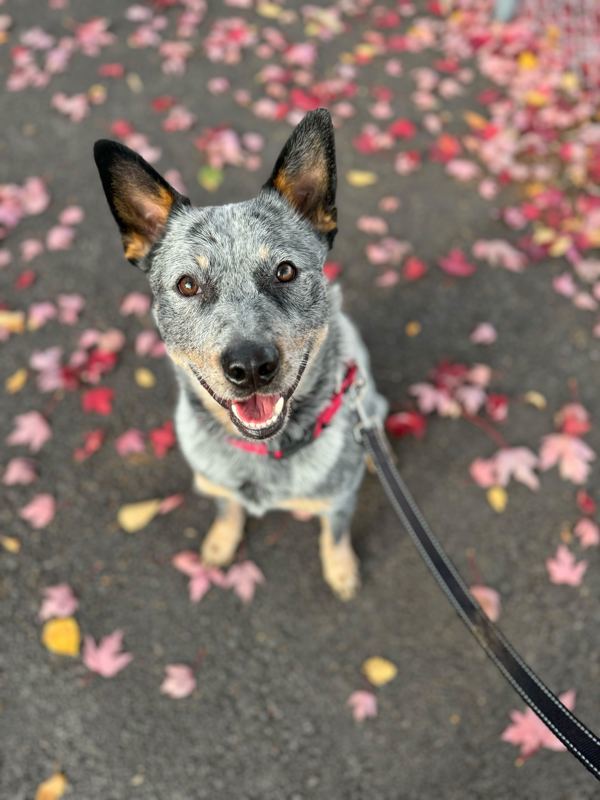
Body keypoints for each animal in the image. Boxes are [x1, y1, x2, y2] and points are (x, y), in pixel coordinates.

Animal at [92, 108, 384, 600]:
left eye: (285, 271)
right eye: (187, 284)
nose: (250, 367)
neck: (264, 454)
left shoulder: (339, 500)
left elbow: (335, 532)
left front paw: (341, 571)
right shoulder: (218, 484)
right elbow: (227, 507)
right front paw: (220, 542)